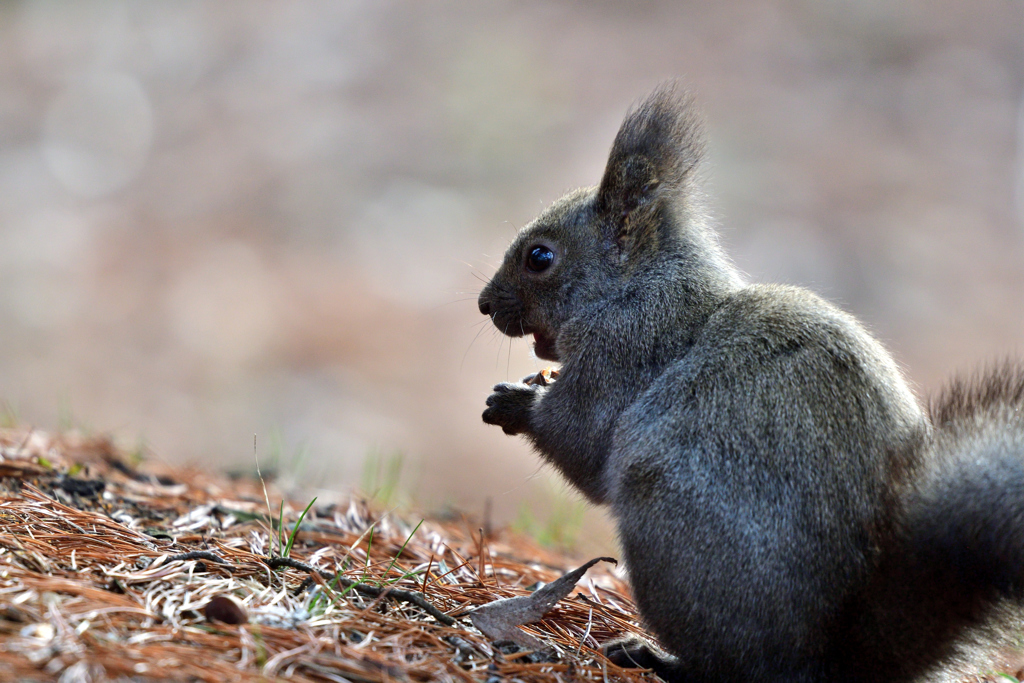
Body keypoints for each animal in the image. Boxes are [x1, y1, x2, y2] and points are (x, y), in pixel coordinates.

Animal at [475, 85, 1024, 683]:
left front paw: (516, 403)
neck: (637, 288)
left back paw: (655, 657)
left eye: (540, 257)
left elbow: (581, 440)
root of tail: (828, 661)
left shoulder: (624, 353)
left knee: (733, 666)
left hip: (673, 533)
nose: (483, 304)